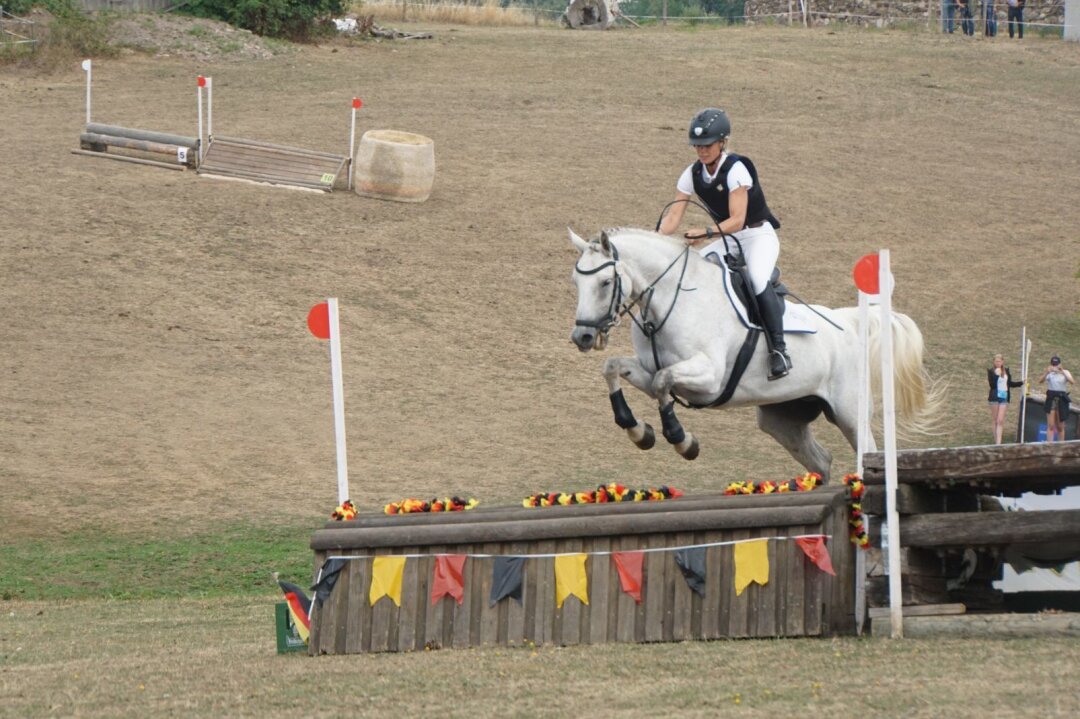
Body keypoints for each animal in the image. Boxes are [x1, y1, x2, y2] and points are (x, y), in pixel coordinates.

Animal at [570, 226, 941, 479]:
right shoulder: (648, 371)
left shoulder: (709, 378)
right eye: (576, 282)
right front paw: (637, 431)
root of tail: (849, 324)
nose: (583, 336)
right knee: (821, 461)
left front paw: (682, 440)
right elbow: (614, 367)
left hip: (849, 414)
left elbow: (663, 381)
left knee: (867, 454)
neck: (670, 302)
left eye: (605, 283)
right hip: (782, 419)